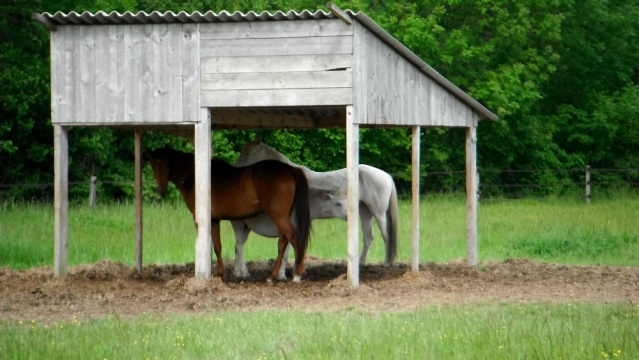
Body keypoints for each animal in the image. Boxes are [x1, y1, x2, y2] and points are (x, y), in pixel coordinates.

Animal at [148, 148, 312, 282]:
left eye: (167, 165)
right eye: (153, 165)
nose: (162, 191)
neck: (195, 177)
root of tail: (289, 169)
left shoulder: (201, 219)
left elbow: (213, 245)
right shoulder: (214, 220)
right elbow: (217, 246)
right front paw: (221, 273)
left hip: (278, 215)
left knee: (293, 237)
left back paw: (298, 274)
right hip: (282, 216)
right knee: (283, 241)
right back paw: (272, 276)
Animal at [230, 139, 400, 280]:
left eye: (248, 153)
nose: (236, 168)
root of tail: (387, 176)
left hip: (378, 213)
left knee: (386, 236)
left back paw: (386, 263)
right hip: (365, 212)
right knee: (368, 237)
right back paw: (361, 262)